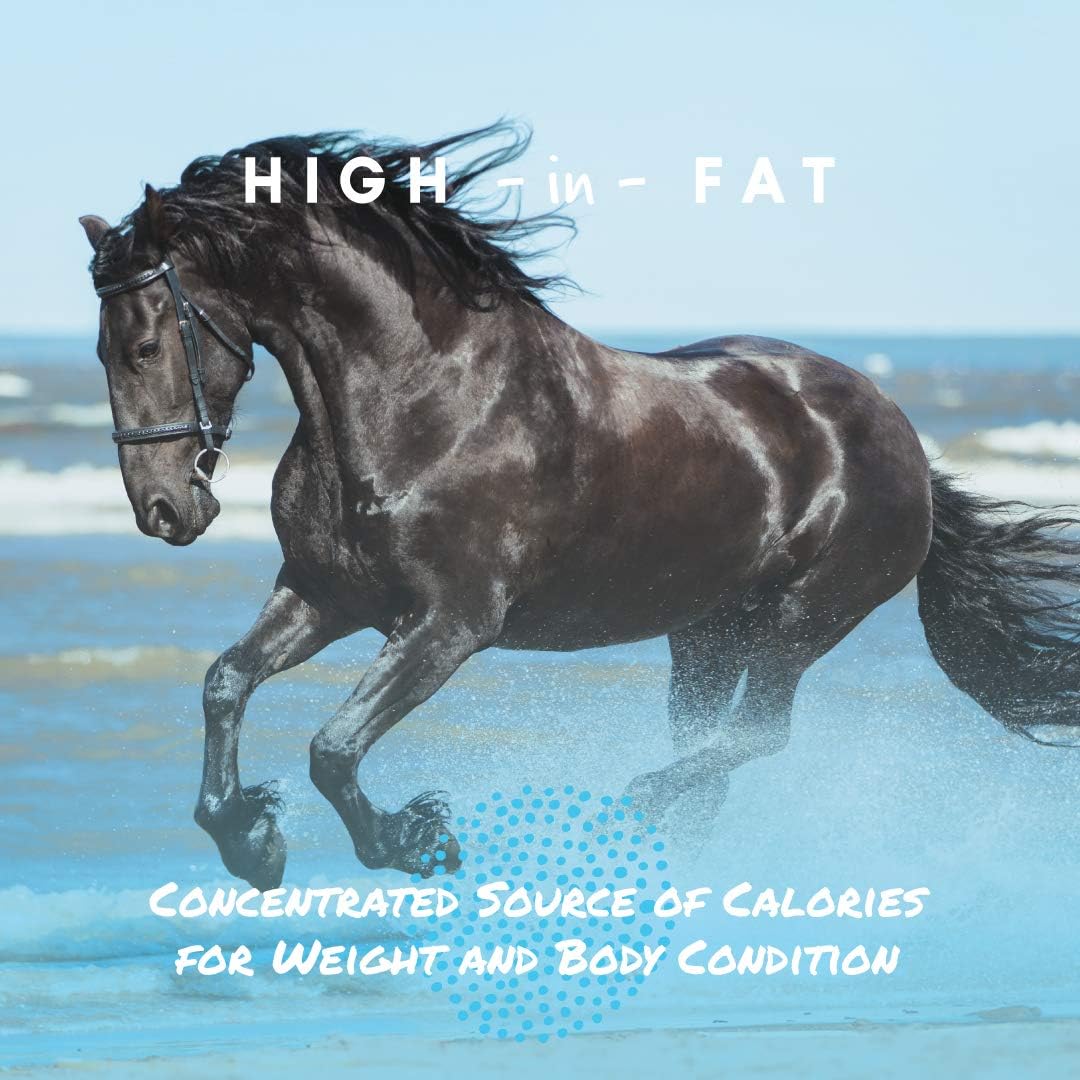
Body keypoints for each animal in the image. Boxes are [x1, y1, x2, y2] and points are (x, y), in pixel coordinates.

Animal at [79, 124, 1080, 891]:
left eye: (144, 343)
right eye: (101, 349)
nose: (164, 510)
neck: (422, 399)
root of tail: (903, 439)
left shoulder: (449, 624)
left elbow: (334, 747)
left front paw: (416, 840)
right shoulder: (327, 596)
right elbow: (225, 683)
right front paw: (251, 840)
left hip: (800, 622)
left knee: (756, 735)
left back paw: (635, 807)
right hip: (706, 633)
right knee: (717, 748)